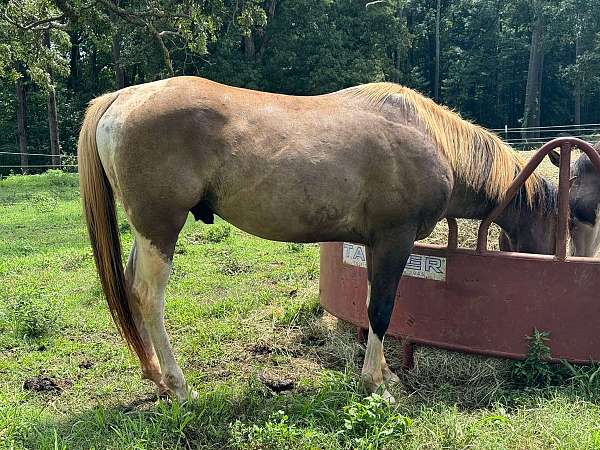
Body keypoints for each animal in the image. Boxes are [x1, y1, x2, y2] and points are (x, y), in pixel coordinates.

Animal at [78, 75, 556, 402]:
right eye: (564, 222)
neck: (430, 138)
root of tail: (122, 98)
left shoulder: (374, 244)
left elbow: (371, 307)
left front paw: (384, 372)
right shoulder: (394, 240)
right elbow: (381, 311)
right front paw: (376, 383)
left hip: (147, 231)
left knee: (130, 288)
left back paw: (155, 376)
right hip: (161, 227)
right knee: (148, 296)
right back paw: (179, 386)